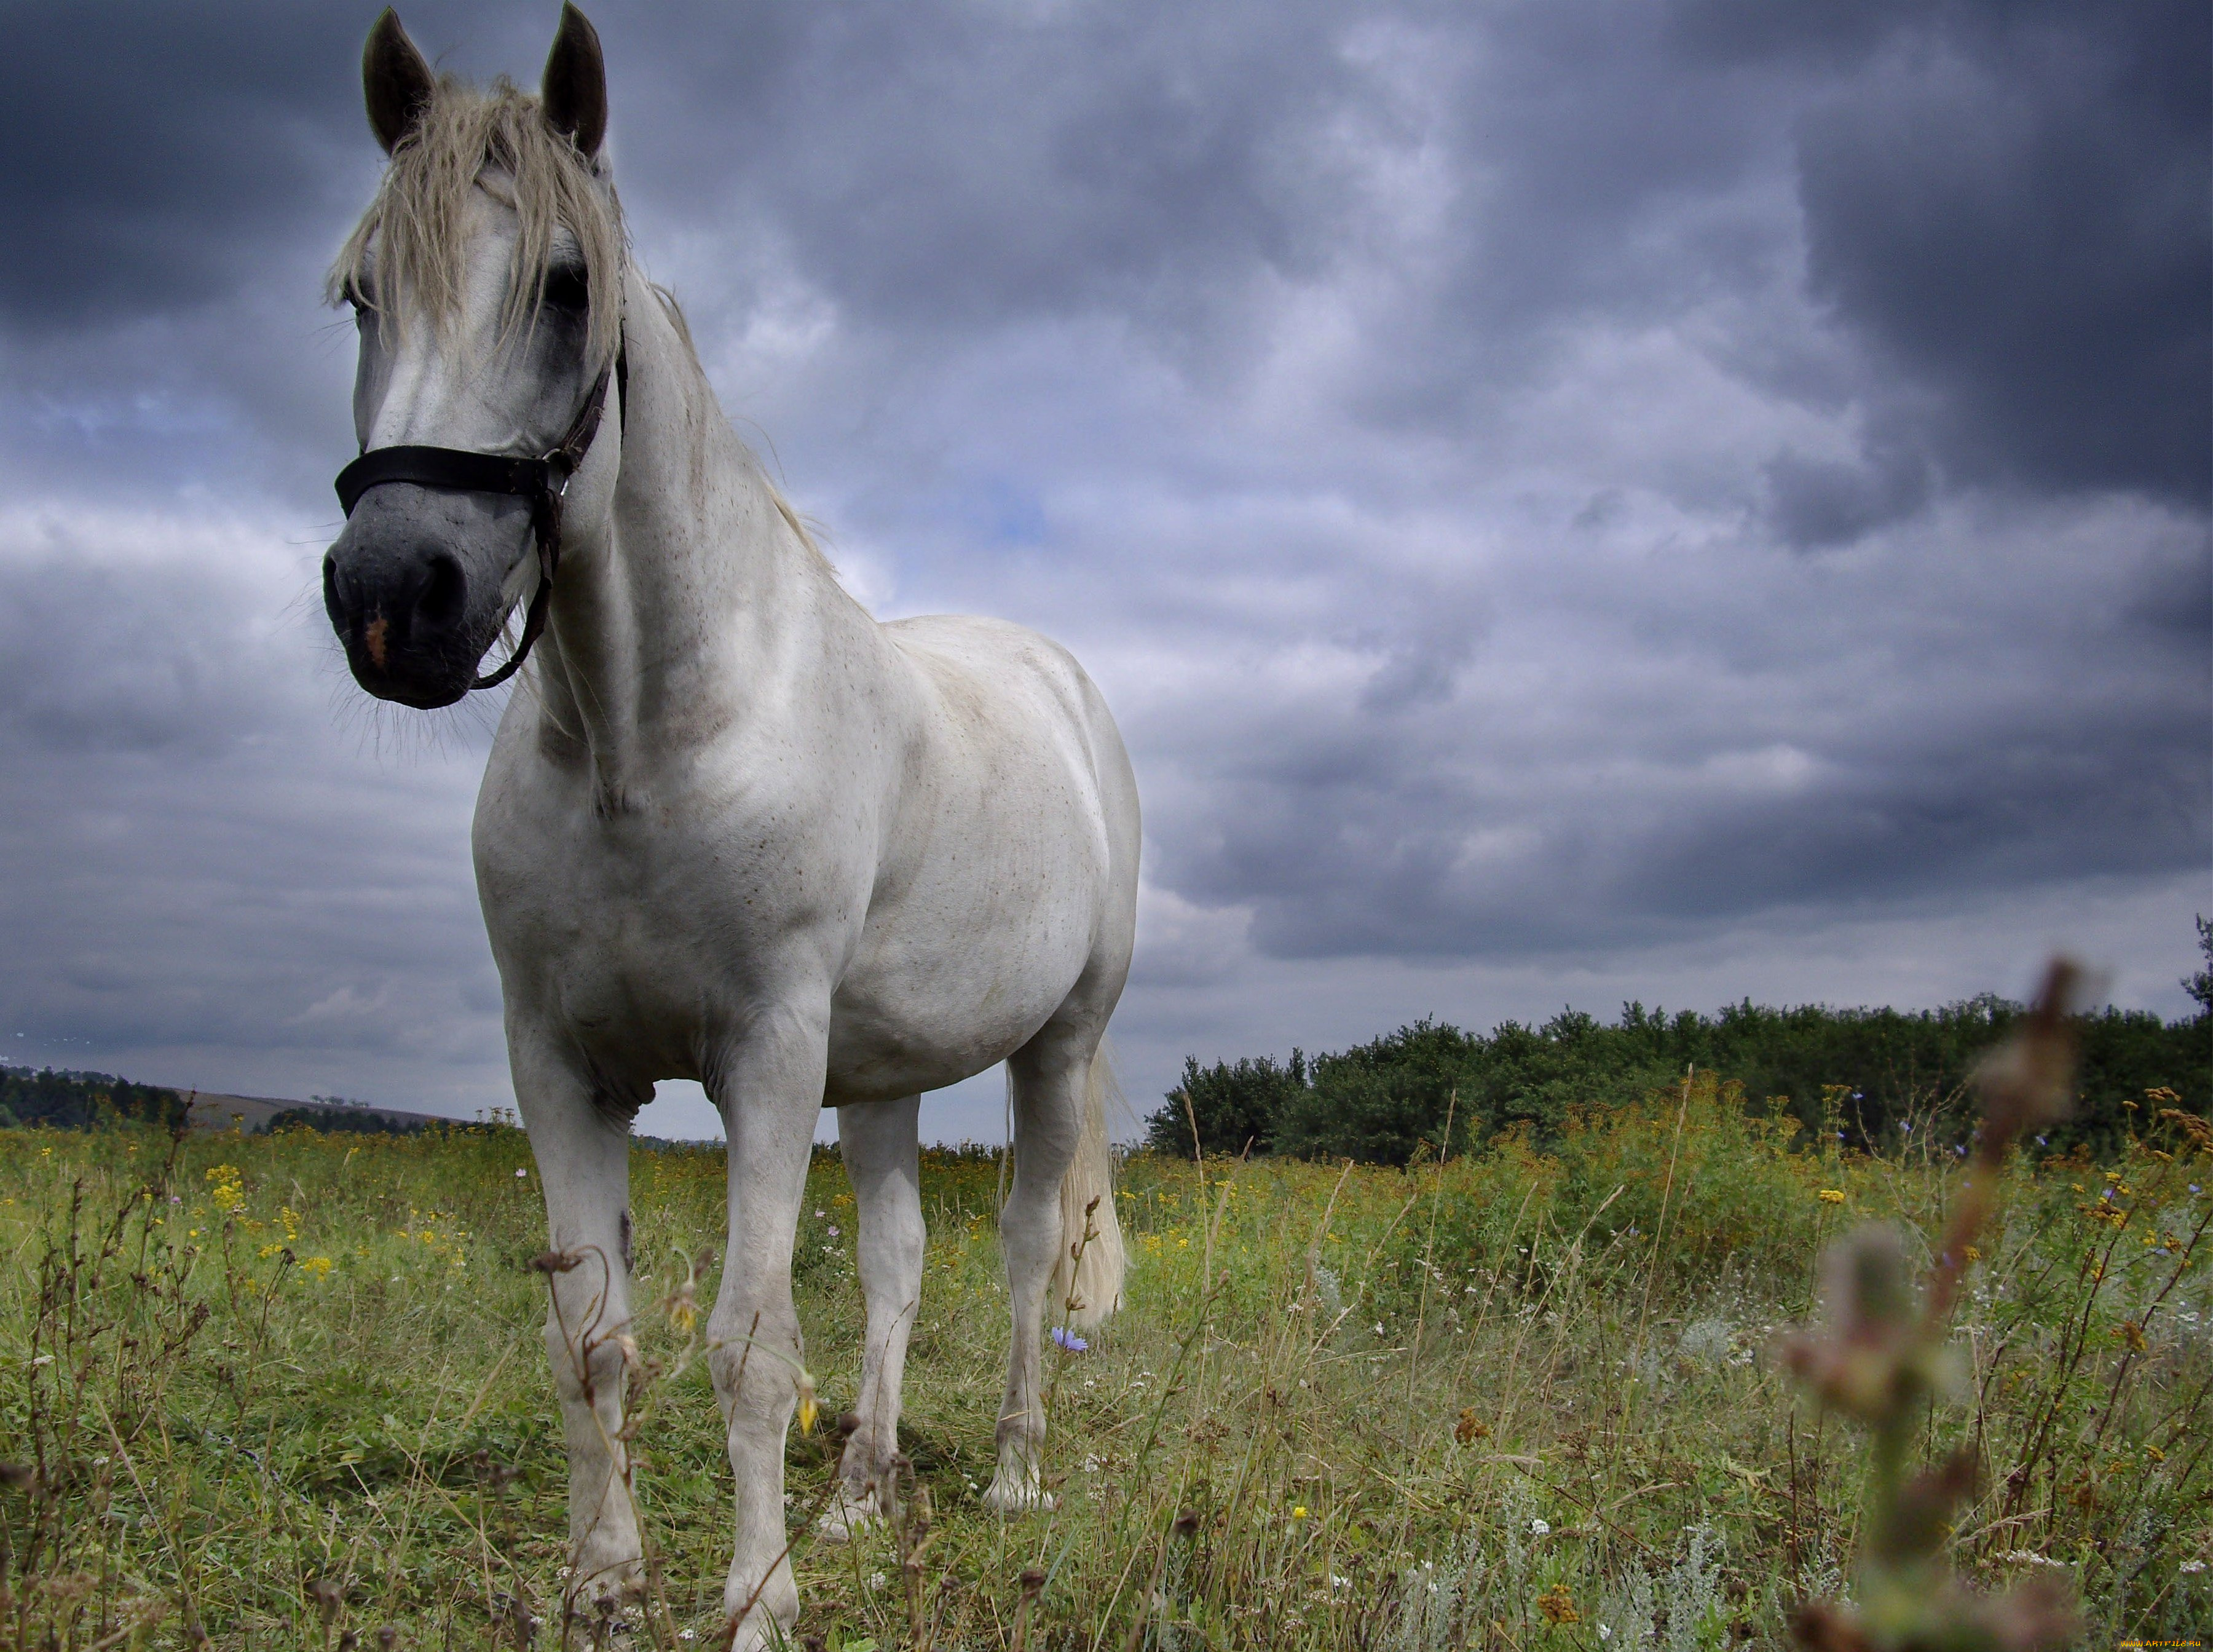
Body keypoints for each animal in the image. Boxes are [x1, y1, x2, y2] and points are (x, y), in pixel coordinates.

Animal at [321, 9, 1142, 1638]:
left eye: (564, 286)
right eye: (363, 292)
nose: (395, 595)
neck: (644, 745)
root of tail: (1060, 682)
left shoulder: (764, 1051)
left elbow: (749, 1343)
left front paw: (756, 1596)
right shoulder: (560, 1061)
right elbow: (594, 1335)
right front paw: (604, 1582)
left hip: (1054, 1045)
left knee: (1028, 1252)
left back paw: (1012, 1474)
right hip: (877, 1072)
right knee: (898, 1263)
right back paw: (861, 1492)